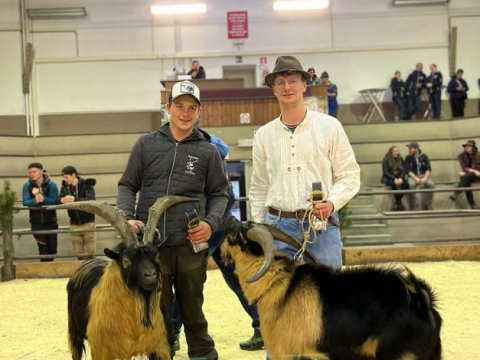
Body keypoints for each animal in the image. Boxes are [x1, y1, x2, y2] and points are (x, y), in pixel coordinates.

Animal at [53, 195, 195, 360]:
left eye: (157, 256)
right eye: (126, 260)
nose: (150, 275)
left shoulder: (161, 347)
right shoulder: (105, 351)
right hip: (74, 332)